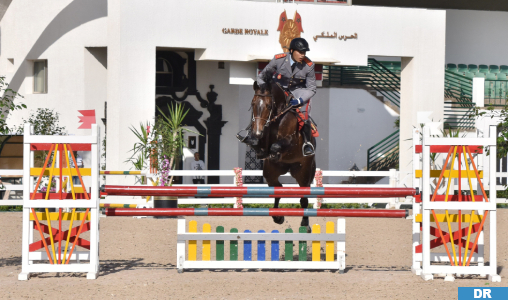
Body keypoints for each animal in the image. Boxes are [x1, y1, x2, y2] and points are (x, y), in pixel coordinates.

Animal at [248, 79, 316, 227]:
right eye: (252, 104)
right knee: (278, 189)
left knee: (304, 198)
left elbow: (275, 146)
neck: (277, 118)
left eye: (268, 105)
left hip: (303, 172)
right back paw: (278, 217)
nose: (257, 132)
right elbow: (260, 146)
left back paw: (305, 224)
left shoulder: (291, 141)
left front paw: (275, 153)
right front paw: (261, 149)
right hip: (271, 172)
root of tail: (288, 168)